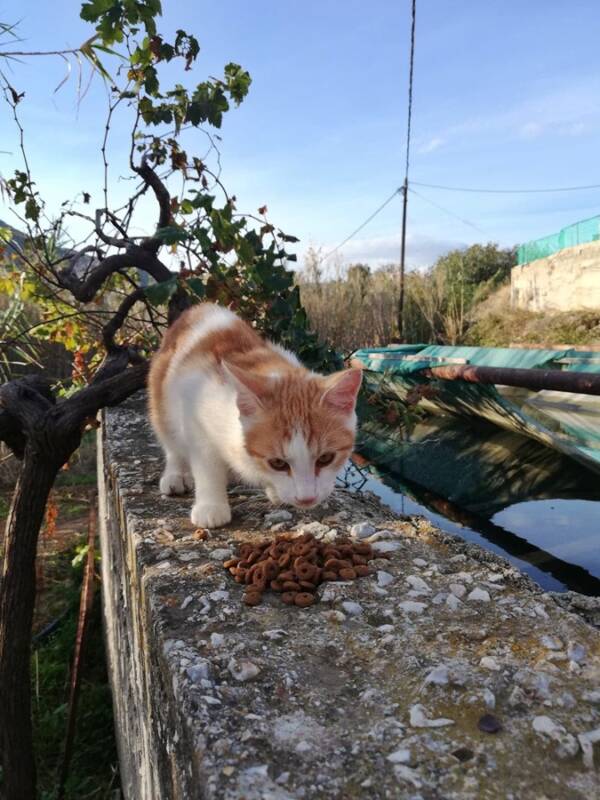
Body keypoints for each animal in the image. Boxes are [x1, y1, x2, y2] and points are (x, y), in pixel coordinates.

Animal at [148, 304, 364, 528]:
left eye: (326, 458)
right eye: (278, 463)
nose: (307, 498)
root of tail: (200, 308)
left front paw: (274, 490)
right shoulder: (196, 412)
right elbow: (207, 466)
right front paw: (211, 505)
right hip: (162, 399)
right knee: (171, 442)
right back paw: (175, 475)